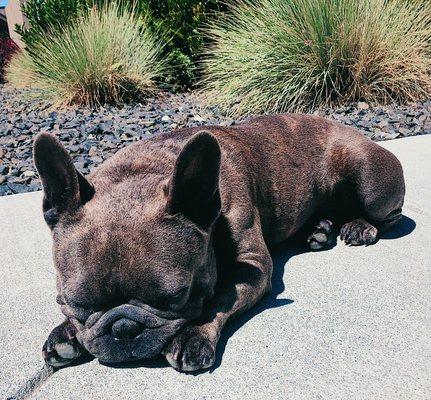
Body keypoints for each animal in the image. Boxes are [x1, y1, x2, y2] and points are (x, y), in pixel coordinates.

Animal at [33, 113, 404, 372]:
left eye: (176, 298)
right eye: (78, 303)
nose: (124, 328)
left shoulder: (253, 267)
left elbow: (221, 297)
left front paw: (193, 337)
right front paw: (65, 333)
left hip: (369, 177)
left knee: (388, 215)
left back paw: (360, 227)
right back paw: (320, 229)